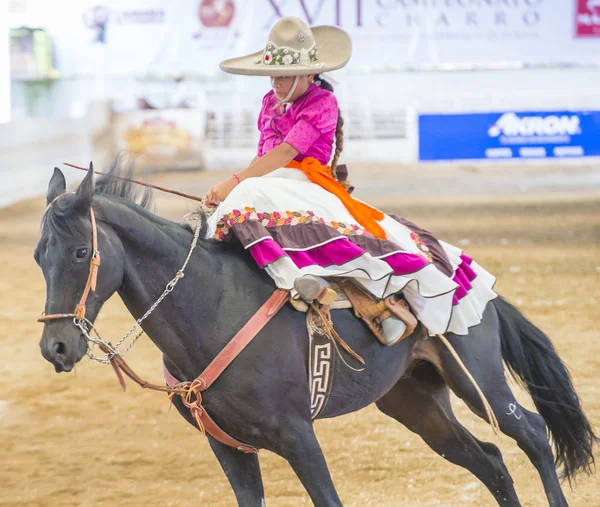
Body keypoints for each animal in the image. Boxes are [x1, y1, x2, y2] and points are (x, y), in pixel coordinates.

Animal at [36, 161, 596, 506]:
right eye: (40, 255)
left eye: (82, 252)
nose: (55, 347)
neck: (212, 307)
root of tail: (467, 272)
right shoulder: (229, 448)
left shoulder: (298, 436)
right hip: (416, 402)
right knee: (491, 461)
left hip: (480, 380)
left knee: (531, 434)